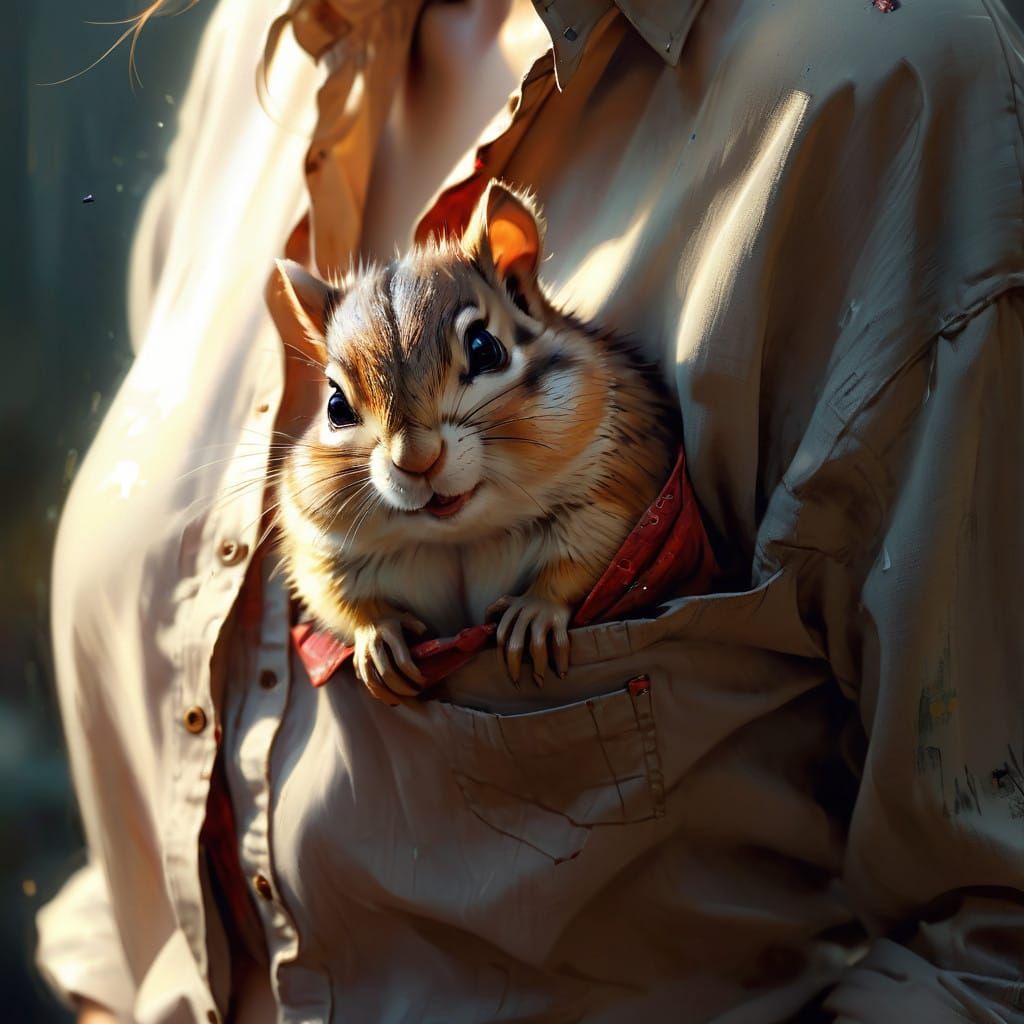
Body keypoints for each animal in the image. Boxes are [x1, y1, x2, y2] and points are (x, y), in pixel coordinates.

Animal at [272, 181, 677, 704]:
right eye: (336, 406)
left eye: (486, 349)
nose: (416, 459)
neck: (461, 532)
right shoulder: (319, 549)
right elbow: (337, 600)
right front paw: (377, 637)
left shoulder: (619, 485)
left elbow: (592, 559)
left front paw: (534, 612)